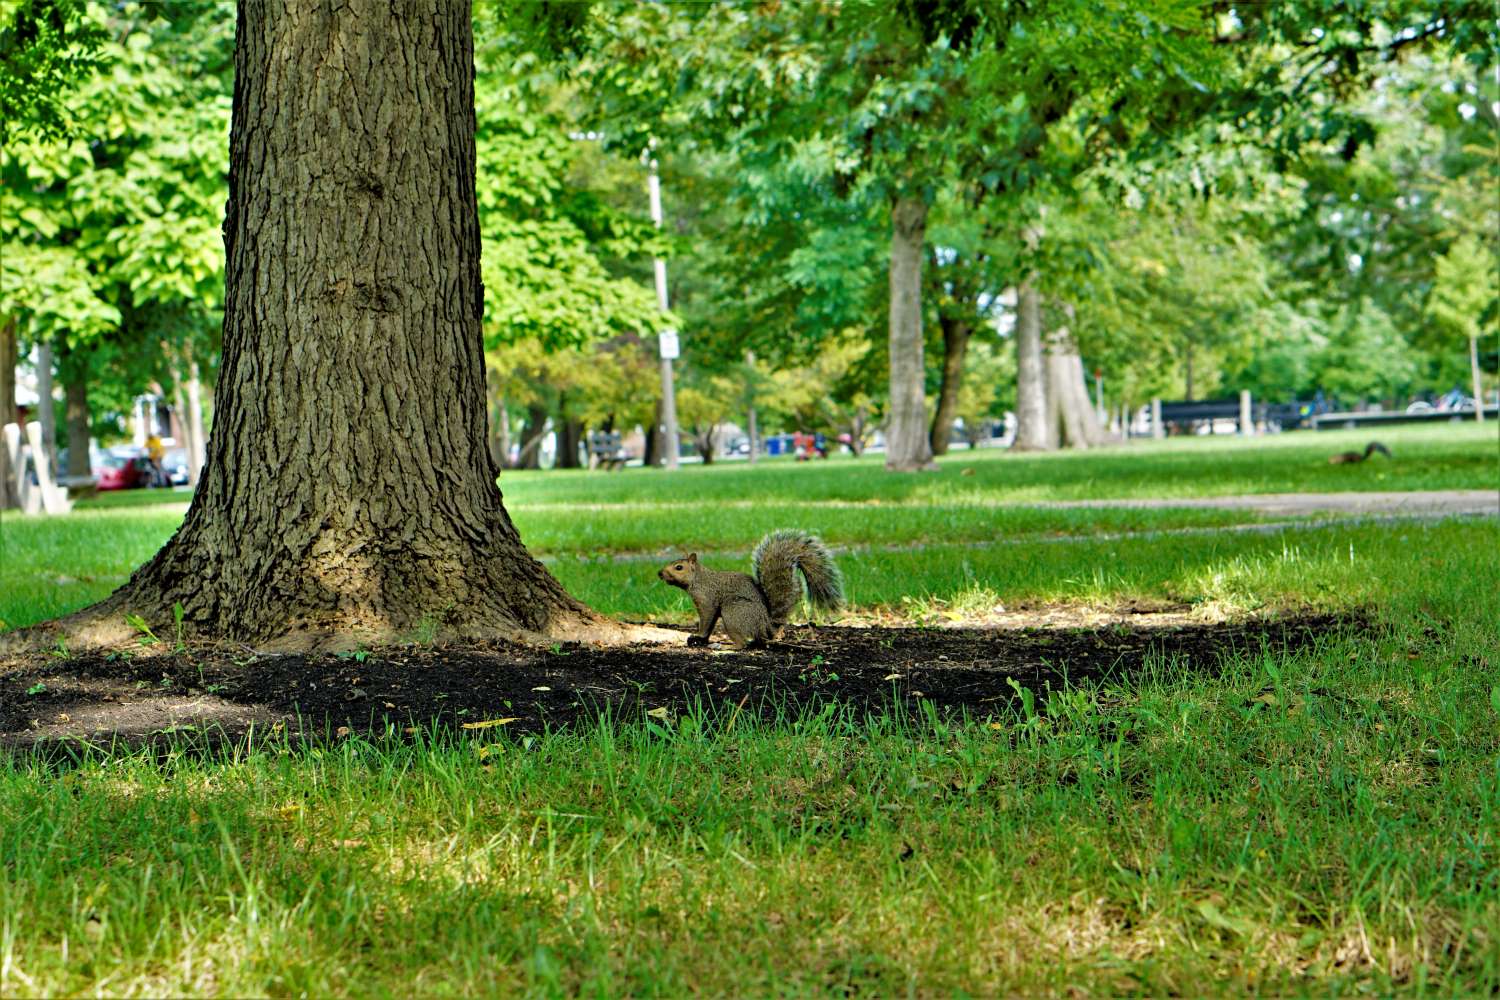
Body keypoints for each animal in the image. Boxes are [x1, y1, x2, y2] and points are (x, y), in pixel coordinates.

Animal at [658, 530, 843, 647]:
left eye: (679, 567)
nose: (660, 573)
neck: (698, 580)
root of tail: (765, 626)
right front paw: (702, 639)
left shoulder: (707, 600)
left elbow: (707, 619)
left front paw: (699, 636)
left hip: (733, 611)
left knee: (742, 645)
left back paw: (728, 648)